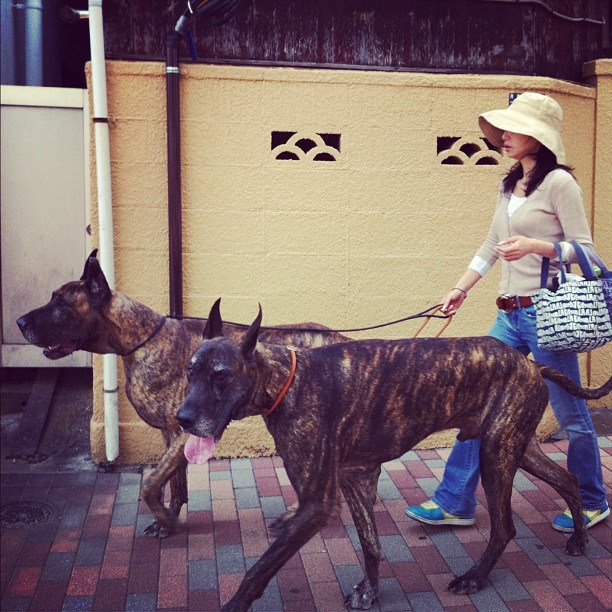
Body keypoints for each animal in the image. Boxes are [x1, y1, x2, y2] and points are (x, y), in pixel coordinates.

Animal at [15, 249, 350, 536]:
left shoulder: (183, 433)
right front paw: (169, 517)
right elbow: (175, 483)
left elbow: (151, 482)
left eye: (60, 303)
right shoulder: (173, 433)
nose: (19, 321)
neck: (142, 339)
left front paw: (165, 518)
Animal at [178, 304, 612, 608]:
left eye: (221, 376)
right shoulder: (356, 479)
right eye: (190, 371)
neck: (287, 380)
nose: (182, 419)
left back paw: (474, 577)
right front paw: (370, 590)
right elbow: (370, 545)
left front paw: (234, 604)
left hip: (497, 454)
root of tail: (531, 363)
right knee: (568, 479)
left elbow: (258, 570)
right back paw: (578, 537)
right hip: (516, 448)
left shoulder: (317, 504)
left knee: (504, 527)